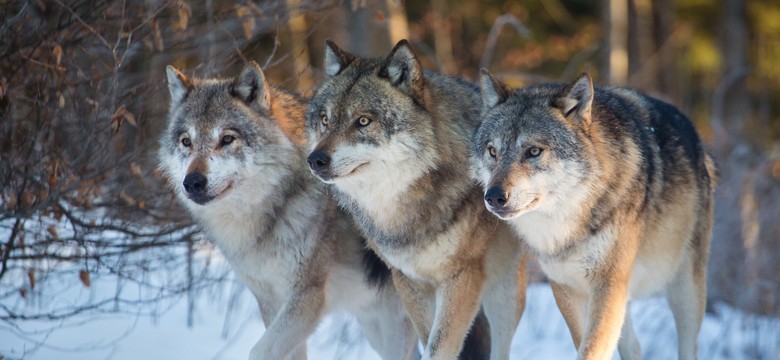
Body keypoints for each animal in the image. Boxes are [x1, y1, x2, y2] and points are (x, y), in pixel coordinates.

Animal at [158, 62, 420, 360]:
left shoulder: (306, 298)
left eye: (226, 139)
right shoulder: (270, 299)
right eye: (186, 141)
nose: (192, 182)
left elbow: (259, 351)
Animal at [304, 39, 532, 360]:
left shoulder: (461, 277)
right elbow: (429, 339)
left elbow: (439, 346)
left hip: (504, 290)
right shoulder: (407, 280)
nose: (315, 160)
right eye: (325, 120)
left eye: (363, 121)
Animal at [472, 69, 716, 358]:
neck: (567, 223)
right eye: (492, 151)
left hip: (685, 290)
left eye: (533, 151)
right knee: (632, 344)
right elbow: (585, 343)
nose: (493, 196)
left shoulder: (607, 284)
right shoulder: (566, 286)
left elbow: (591, 349)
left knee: (688, 344)